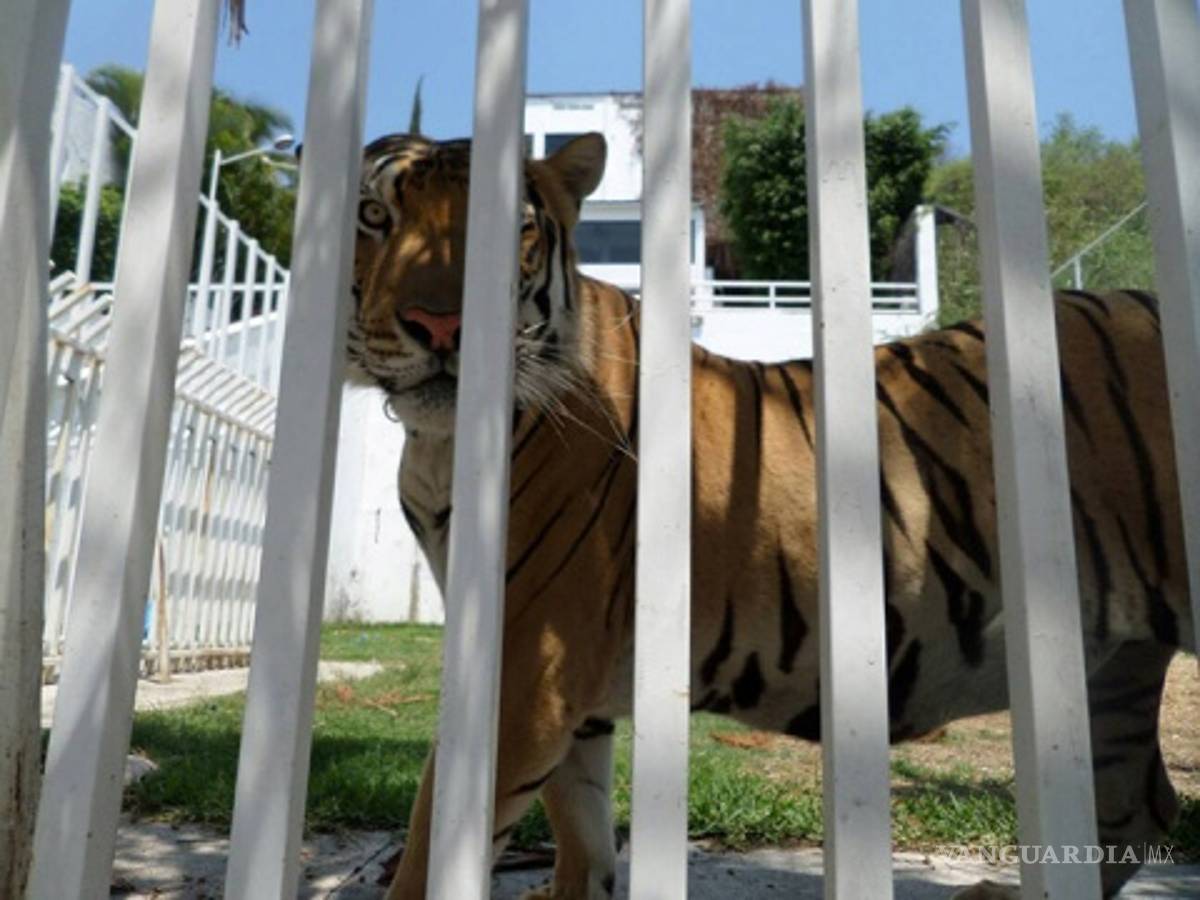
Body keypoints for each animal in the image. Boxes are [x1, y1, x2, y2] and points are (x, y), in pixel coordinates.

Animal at [346, 130, 1194, 900]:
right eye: (373, 216)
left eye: (511, 229)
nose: (441, 327)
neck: (435, 444)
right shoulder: (565, 691)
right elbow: (580, 832)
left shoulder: (529, 665)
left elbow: (433, 845)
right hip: (1114, 662)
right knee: (1140, 805)